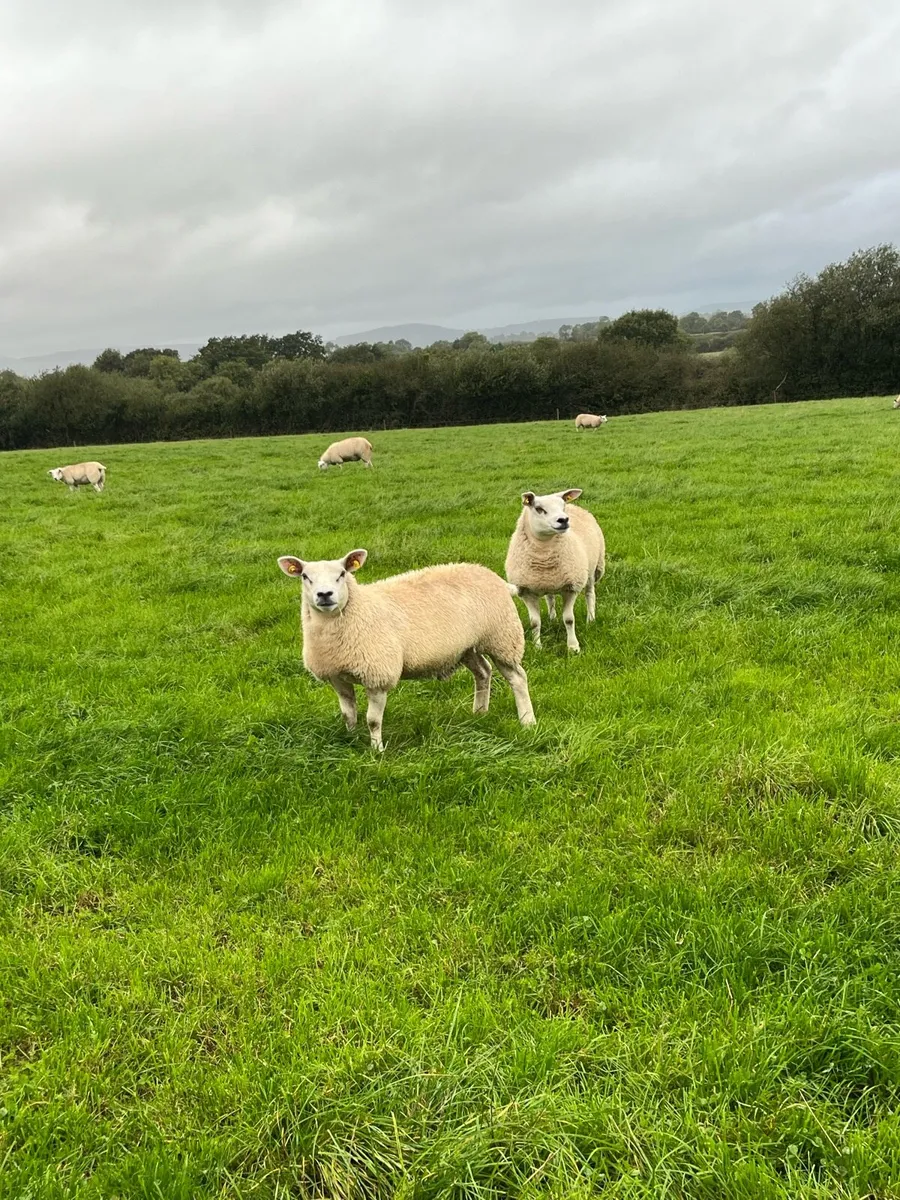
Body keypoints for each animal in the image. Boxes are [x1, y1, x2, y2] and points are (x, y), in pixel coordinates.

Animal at [277, 549, 535, 750]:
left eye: (342, 574)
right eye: (305, 576)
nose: (324, 595)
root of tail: (495, 577)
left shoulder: (378, 675)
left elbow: (373, 720)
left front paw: (377, 751)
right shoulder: (337, 676)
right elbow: (348, 714)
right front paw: (350, 739)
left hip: (502, 638)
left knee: (518, 678)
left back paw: (527, 721)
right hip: (467, 647)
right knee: (483, 672)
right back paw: (480, 712)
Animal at [505, 489, 605, 653]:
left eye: (562, 506)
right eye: (539, 509)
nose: (563, 520)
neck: (544, 556)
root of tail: (576, 506)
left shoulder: (571, 587)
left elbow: (569, 620)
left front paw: (573, 647)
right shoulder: (526, 591)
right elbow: (534, 622)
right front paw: (537, 647)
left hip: (592, 569)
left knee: (590, 594)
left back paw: (591, 619)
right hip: (549, 582)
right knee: (550, 598)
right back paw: (552, 618)